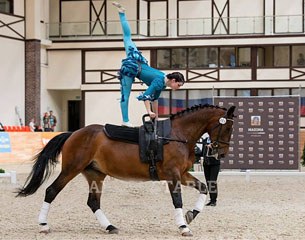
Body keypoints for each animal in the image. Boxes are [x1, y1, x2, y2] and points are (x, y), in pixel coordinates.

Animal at [16, 104, 235, 236]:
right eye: (226, 128)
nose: (222, 153)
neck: (177, 135)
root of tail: (73, 133)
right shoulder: (173, 175)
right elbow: (177, 200)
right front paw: (183, 226)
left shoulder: (182, 174)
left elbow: (203, 187)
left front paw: (192, 214)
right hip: (71, 169)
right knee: (51, 191)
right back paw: (44, 225)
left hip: (95, 175)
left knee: (93, 202)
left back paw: (109, 226)